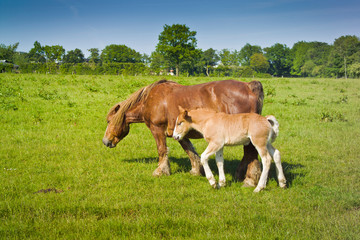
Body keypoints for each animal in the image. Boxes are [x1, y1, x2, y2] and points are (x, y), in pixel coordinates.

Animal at [102, 79, 262, 187]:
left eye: (109, 121)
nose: (106, 141)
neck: (151, 100)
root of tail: (248, 87)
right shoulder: (179, 133)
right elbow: (190, 151)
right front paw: (196, 170)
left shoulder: (157, 129)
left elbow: (162, 150)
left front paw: (161, 171)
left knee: (251, 153)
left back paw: (250, 180)